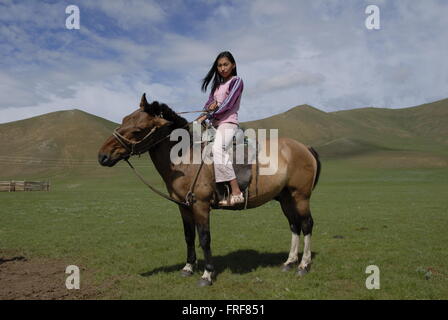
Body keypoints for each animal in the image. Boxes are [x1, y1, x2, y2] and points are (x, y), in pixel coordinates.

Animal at [98, 94, 322, 286]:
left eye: (138, 130)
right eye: (124, 120)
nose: (102, 156)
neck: (186, 159)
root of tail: (305, 147)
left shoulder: (201, 205)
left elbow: (204, 238)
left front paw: (207, 274)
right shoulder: (184, 207)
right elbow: (189, 236)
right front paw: (188, 267)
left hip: (301, 196)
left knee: (307, 224)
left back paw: (303, 265)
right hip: (286, 198)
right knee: (294, 225)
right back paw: (289, 262)